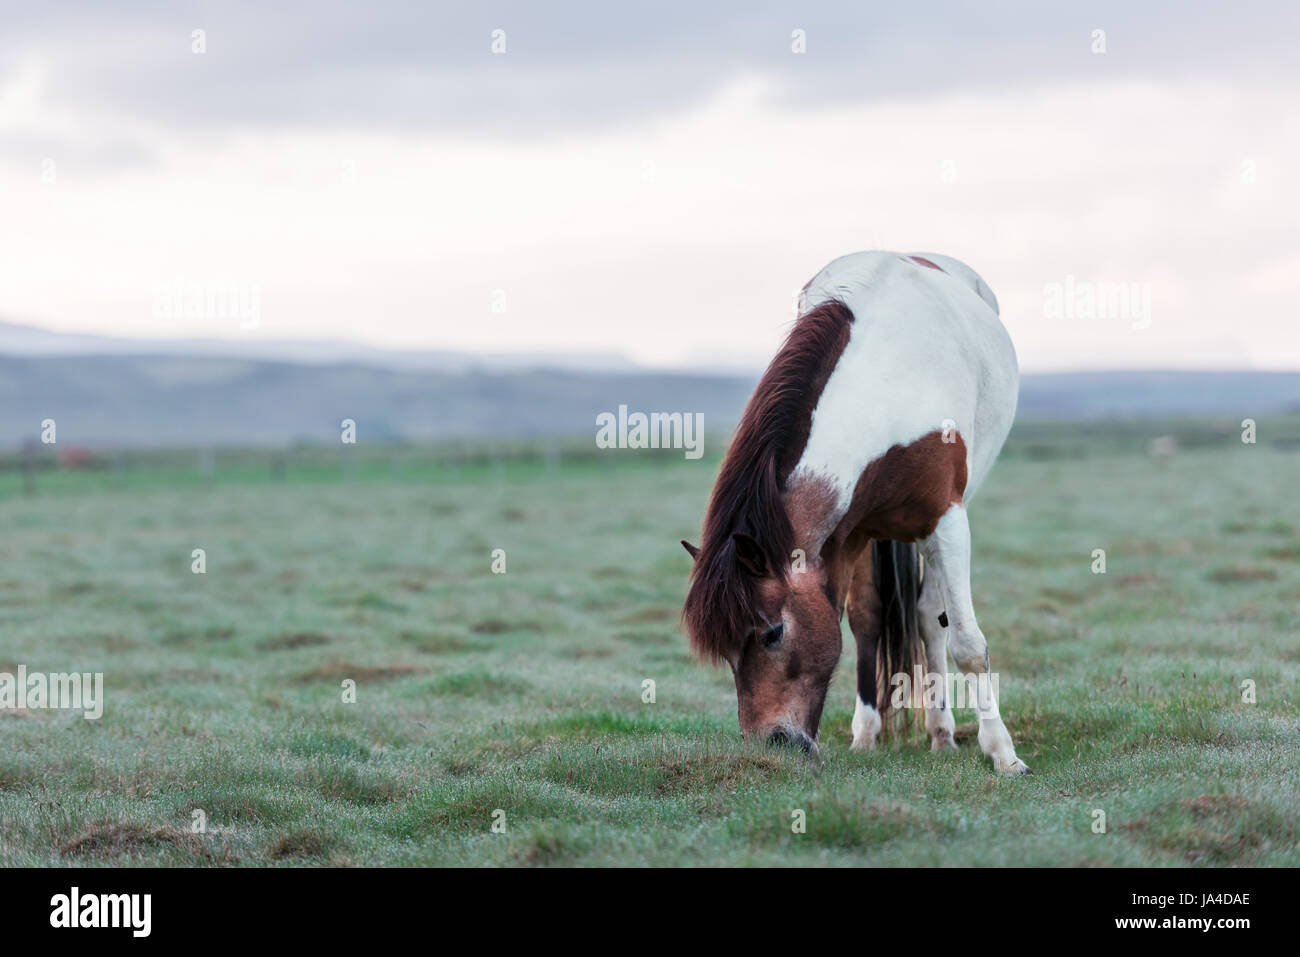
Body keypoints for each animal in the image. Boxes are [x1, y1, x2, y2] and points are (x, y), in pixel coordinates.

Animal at [681, 250, 1024, 774]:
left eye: (773, 633)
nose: (770, 744)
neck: (884, 388)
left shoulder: (948, 522)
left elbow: (967, 644)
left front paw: (1003, 753)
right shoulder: (846, 534)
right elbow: (863, 621)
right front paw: (865, 733)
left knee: (930, 617)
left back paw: (943, 732)